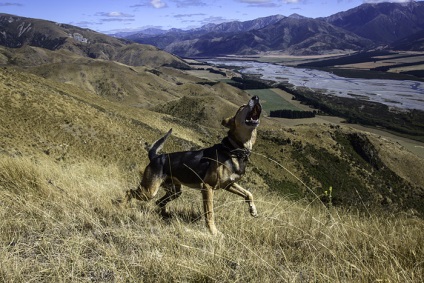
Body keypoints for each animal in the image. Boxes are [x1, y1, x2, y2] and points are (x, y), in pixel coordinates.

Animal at [125, 95, 262, 235]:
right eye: (242, 106)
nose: (256, 97)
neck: (234, 149)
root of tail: (155, 157)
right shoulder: (207, 187)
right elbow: (210, 213)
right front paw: (213, 232)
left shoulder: (229, 184)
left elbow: (248, 193)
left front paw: (253, 210)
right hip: (149, 191)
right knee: (129, 191)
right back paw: (124, 207)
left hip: (175, 191)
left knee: (159, 202)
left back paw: (164, 215)